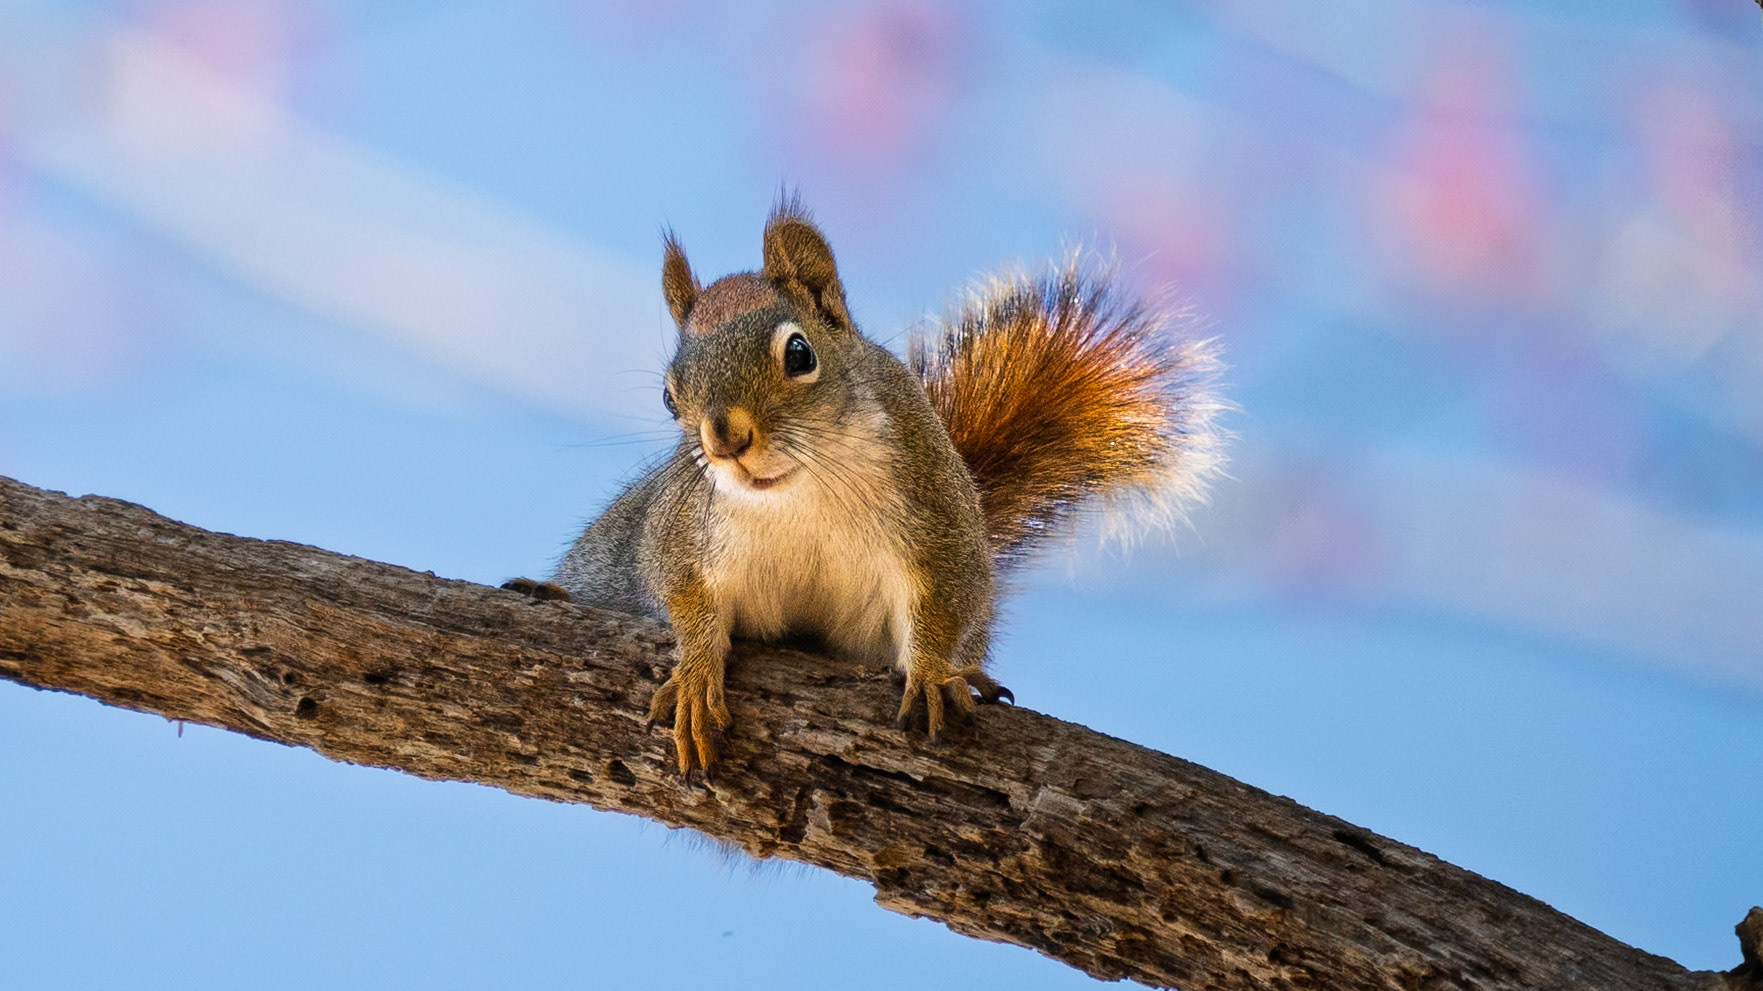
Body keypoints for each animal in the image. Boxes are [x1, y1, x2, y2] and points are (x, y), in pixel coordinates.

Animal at [505, 199, 1226, 775]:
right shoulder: (680, 534)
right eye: (667, 395)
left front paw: (936, 671)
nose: (723, 440)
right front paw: (695, 672)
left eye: (799, 354)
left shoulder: (937, 519)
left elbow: (940, 602)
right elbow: (682, 596)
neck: (800, 492)